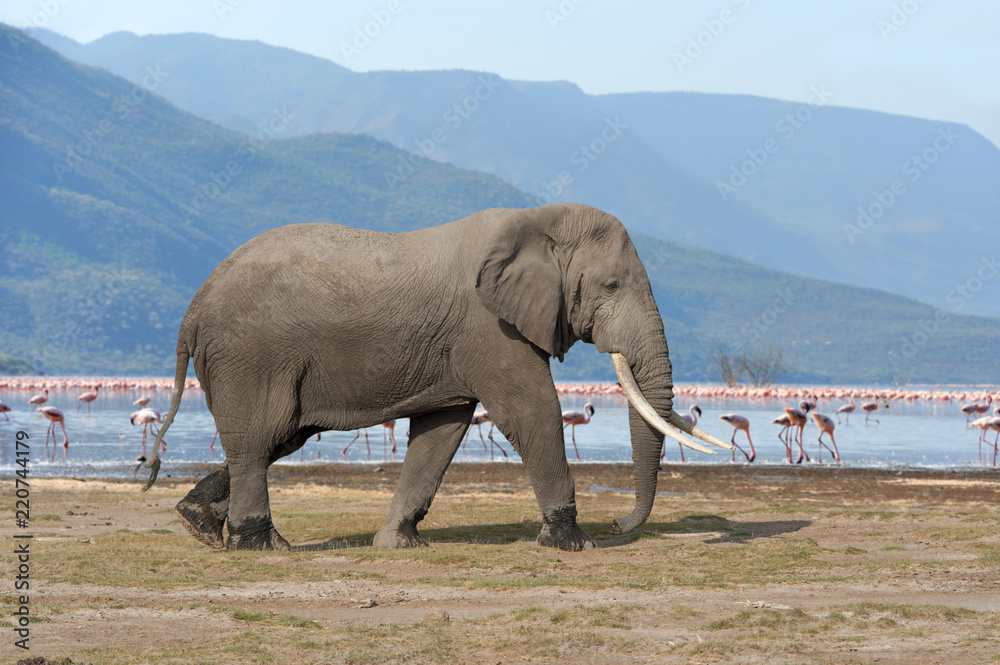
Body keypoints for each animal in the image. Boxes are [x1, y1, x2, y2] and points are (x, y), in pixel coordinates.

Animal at [142, 203, 732, 552]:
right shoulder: (491, 327)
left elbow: (442, 429)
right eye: (610, 286)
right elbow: (533, 410)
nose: (617, 526)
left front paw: (398, 544)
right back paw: (261, 547)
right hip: (253, 355)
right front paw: (572, 544)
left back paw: (198, 524)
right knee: (261, 438)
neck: (536, 217)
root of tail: (192, 310)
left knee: (277, 439)